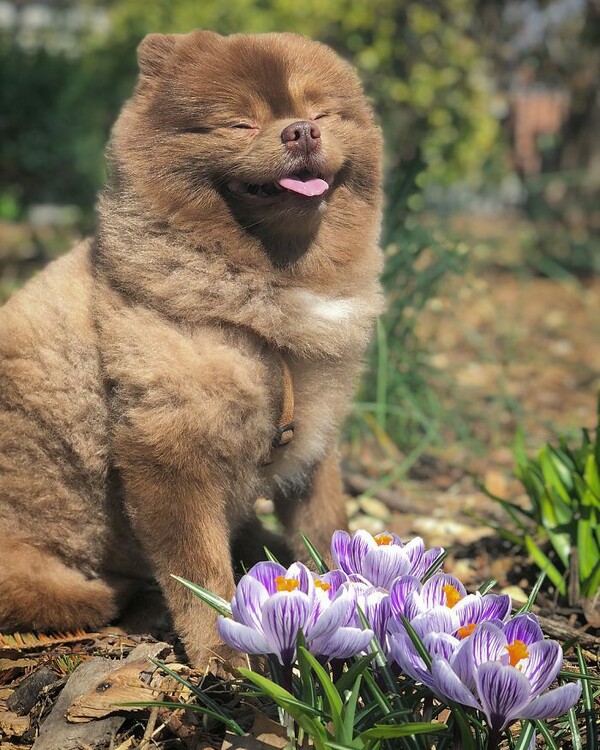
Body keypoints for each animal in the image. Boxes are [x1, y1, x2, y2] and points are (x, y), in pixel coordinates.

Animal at [0, 29, 384, 668]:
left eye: (322, 113)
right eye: (240, 124)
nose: (301, 131)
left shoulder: (314, 439)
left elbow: (325, 525)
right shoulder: (169, 449)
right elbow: (199, 572)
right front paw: (228, 659)